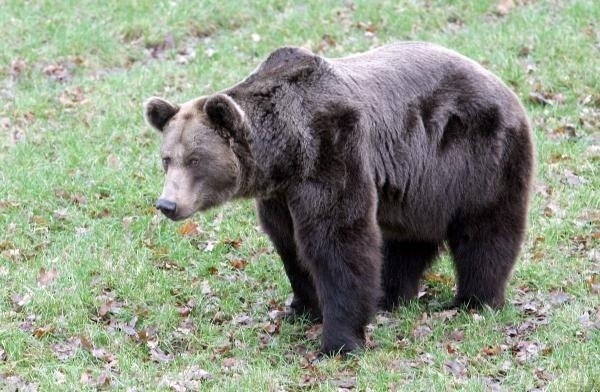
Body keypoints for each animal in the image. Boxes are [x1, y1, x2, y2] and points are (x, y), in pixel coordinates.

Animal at [144, 41, 536, 354]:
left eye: (195, 159)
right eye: (167, 159)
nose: (167, 204)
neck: (285, 153)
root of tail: (503, 85)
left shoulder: (331, 150)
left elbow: (338, 240)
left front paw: (339, 341)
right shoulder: (281, 194)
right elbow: (290, 244)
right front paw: (303, 308)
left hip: (476, 157)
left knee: (485, 231)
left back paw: (476, 300)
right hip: (421, 182)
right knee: (406, 240)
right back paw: (390, 295)